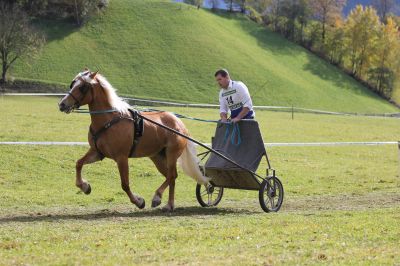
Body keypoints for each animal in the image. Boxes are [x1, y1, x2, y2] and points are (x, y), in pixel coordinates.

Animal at [57, 69, 208, 211]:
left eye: (82, 87)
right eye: (72, 84)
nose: (62, 104)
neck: (109, 120)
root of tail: (179, 123)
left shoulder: (121, 158)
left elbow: (125, 184)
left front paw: (139, 201)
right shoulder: (97, 152)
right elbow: (79, 163)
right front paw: (84, 186)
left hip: (171, 155)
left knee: (171, 176)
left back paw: (165, 202)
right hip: (157, 157)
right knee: (171, 176)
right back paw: (161, 199)